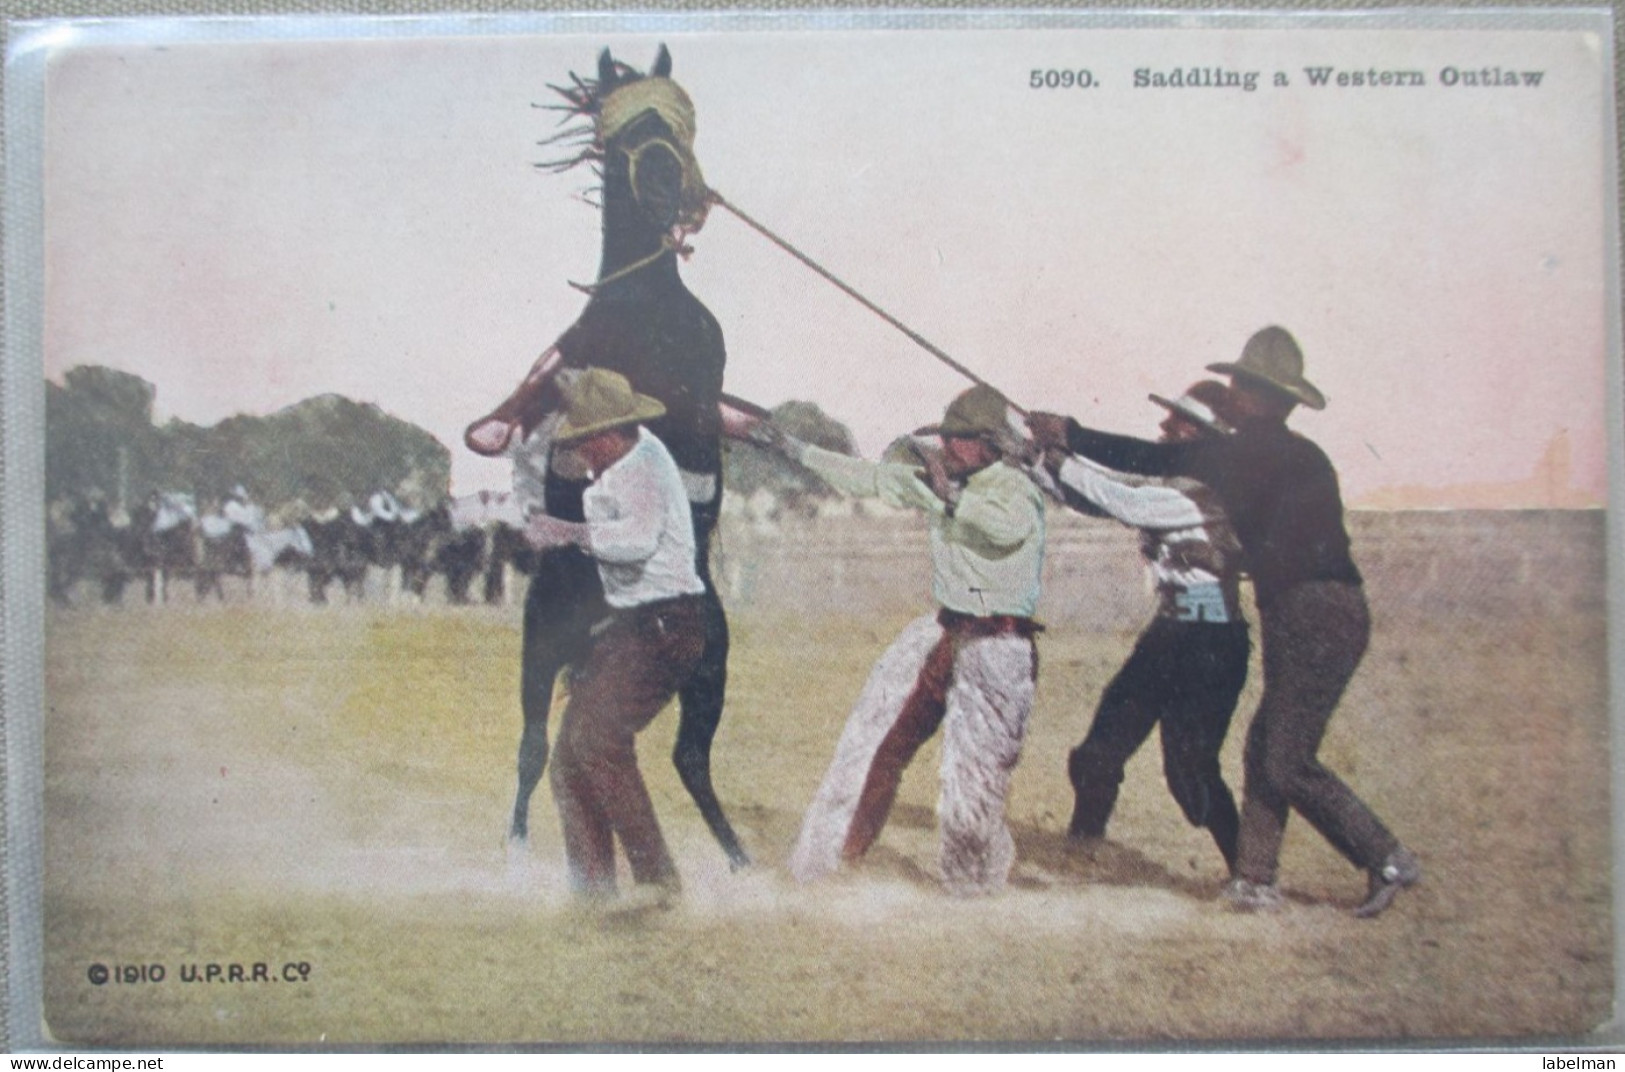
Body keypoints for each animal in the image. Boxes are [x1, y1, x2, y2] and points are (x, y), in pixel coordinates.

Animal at [468, 48, 750, 870]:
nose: (666, 187)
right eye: (630, 132)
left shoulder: (701, 384)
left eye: (676, 126)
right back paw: (518, 844)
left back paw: (739, 857)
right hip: (539, 645)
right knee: (535, 746)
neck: (649, 307)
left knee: (688, 759)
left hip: (711, 662)